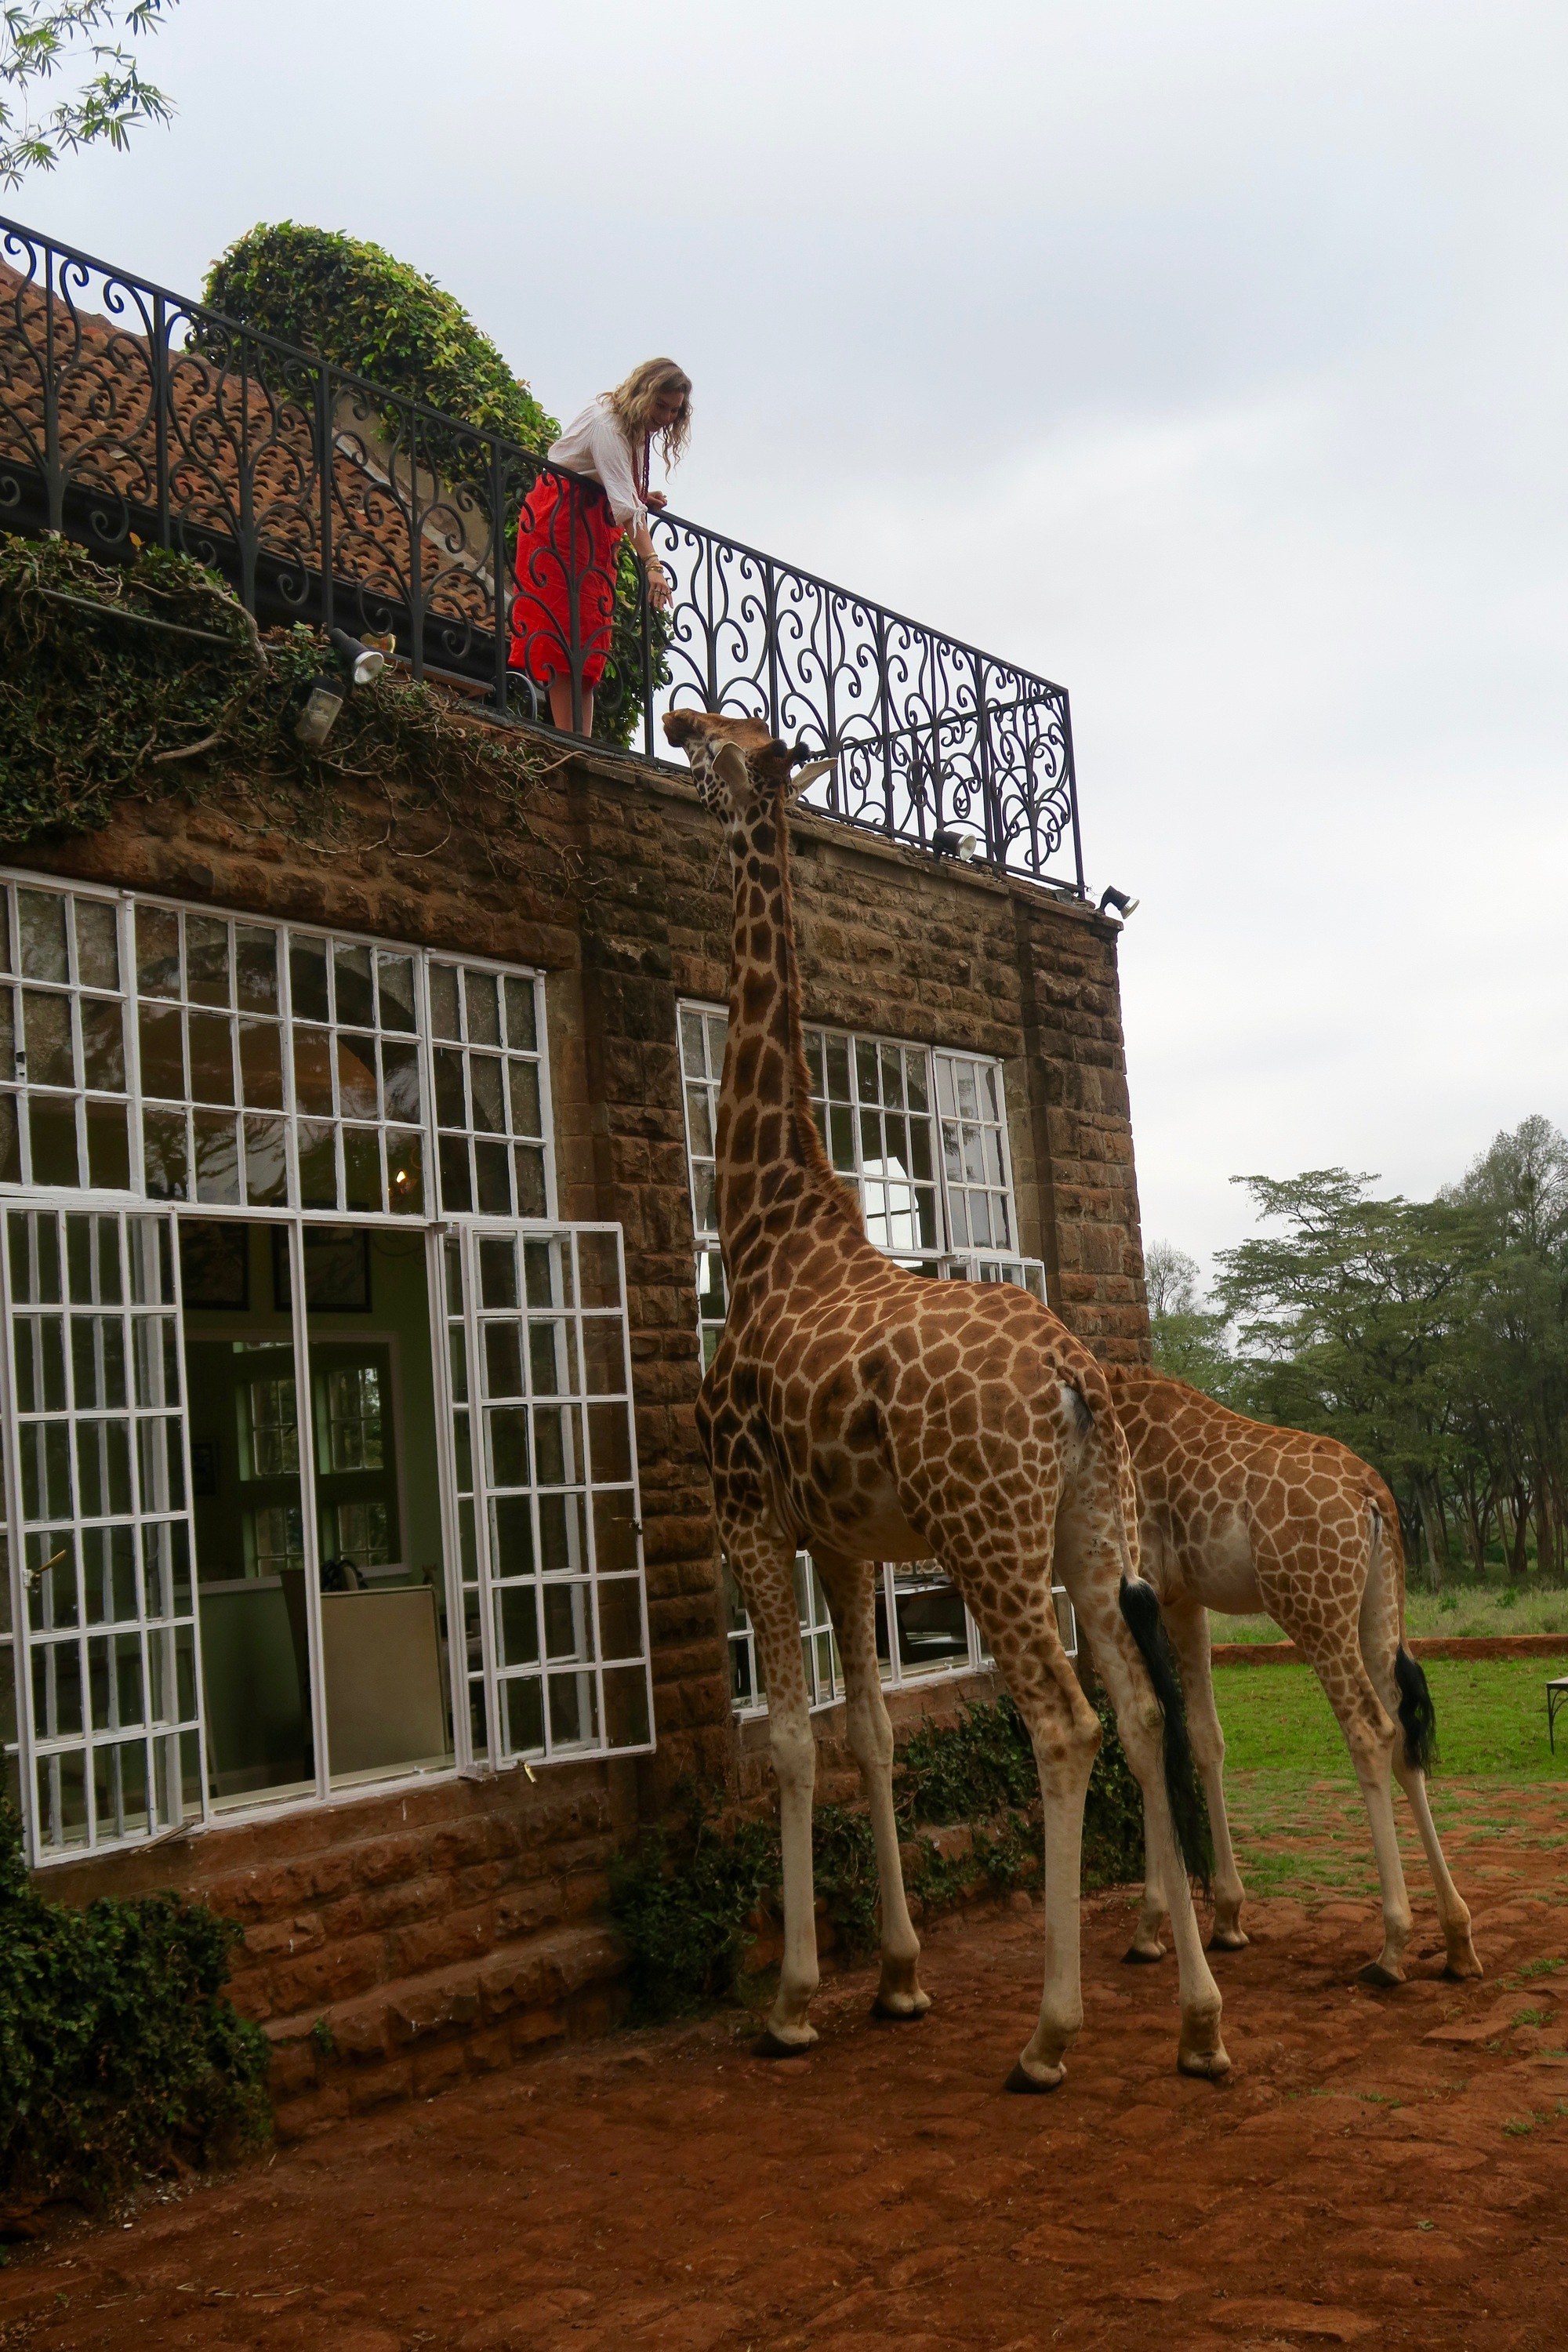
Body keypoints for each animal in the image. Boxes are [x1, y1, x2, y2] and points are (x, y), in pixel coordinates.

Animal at [662, 706, 1222, 2089]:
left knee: (1066, 1724)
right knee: (1142, 1712)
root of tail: (1077, 1380)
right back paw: (1197, 2020)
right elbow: (866, 1732)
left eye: (728, 742)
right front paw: (899, 1978)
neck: (767, 1227)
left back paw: (1049, 2036)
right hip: (1087, 1537)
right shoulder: (847, 1538)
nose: (676, 718)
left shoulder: (749, 1509)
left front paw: (794, 1999)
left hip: (985, 1535)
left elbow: (793, 1740)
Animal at [1105, 1364, 1486, 1985]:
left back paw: (1392, 1948)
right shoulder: (1184, 1599)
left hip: (1313, 1608)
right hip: (1381, 1608)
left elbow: (1152, 1740)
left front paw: (1149, 1928)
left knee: (1371, 1730)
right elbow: (1206, 1738)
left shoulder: (1141, 1590)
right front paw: (1227, 1918)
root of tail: (1373, 1496)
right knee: (1405, 1737)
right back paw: (1457, 1941)